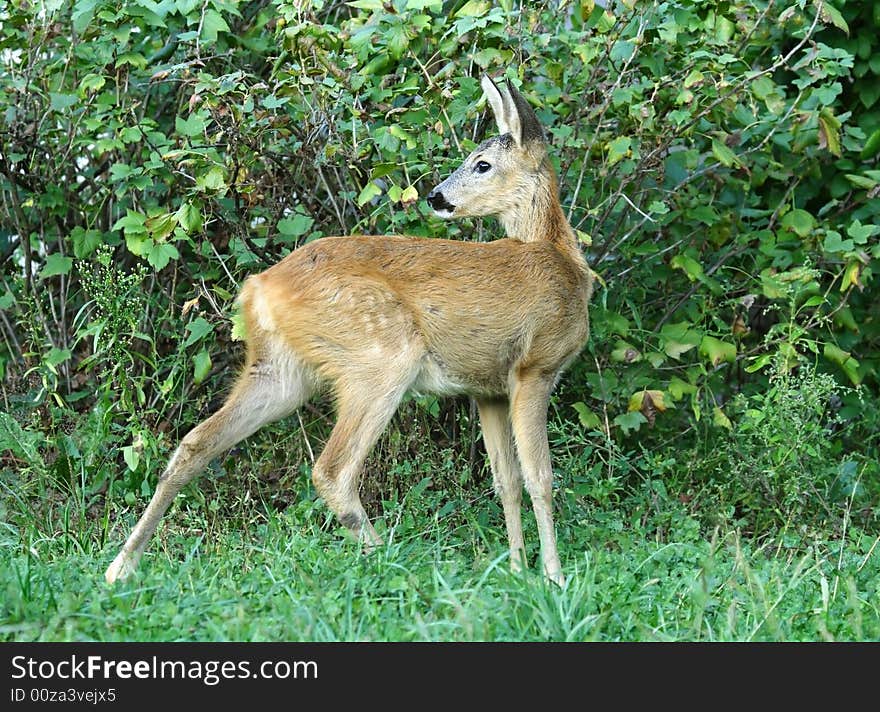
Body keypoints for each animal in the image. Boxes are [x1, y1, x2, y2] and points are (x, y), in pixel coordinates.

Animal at [106, 75, 596, 588]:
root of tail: (259, 287)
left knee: (194, 442)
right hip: (380, 355)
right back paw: (395, 564)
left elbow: (507, 481)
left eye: (482, 163)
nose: (436, 197)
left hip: (280, 369)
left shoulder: (489, 389)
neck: (561, 259)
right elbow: (541, 477)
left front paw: (517, 570)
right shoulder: (534, 366)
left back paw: (121, 566)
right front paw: (554, 577)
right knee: (332, 470)